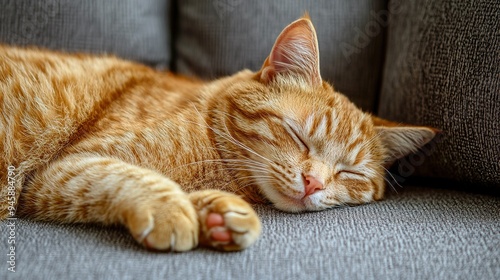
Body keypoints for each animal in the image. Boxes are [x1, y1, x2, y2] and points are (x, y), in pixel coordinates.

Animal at [0, 15, 436, 252]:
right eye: (298, 136)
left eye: (350, 173)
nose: (313, 183)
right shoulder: (59, 171)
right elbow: (129, 176)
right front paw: (173, 209)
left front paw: (218, 216)